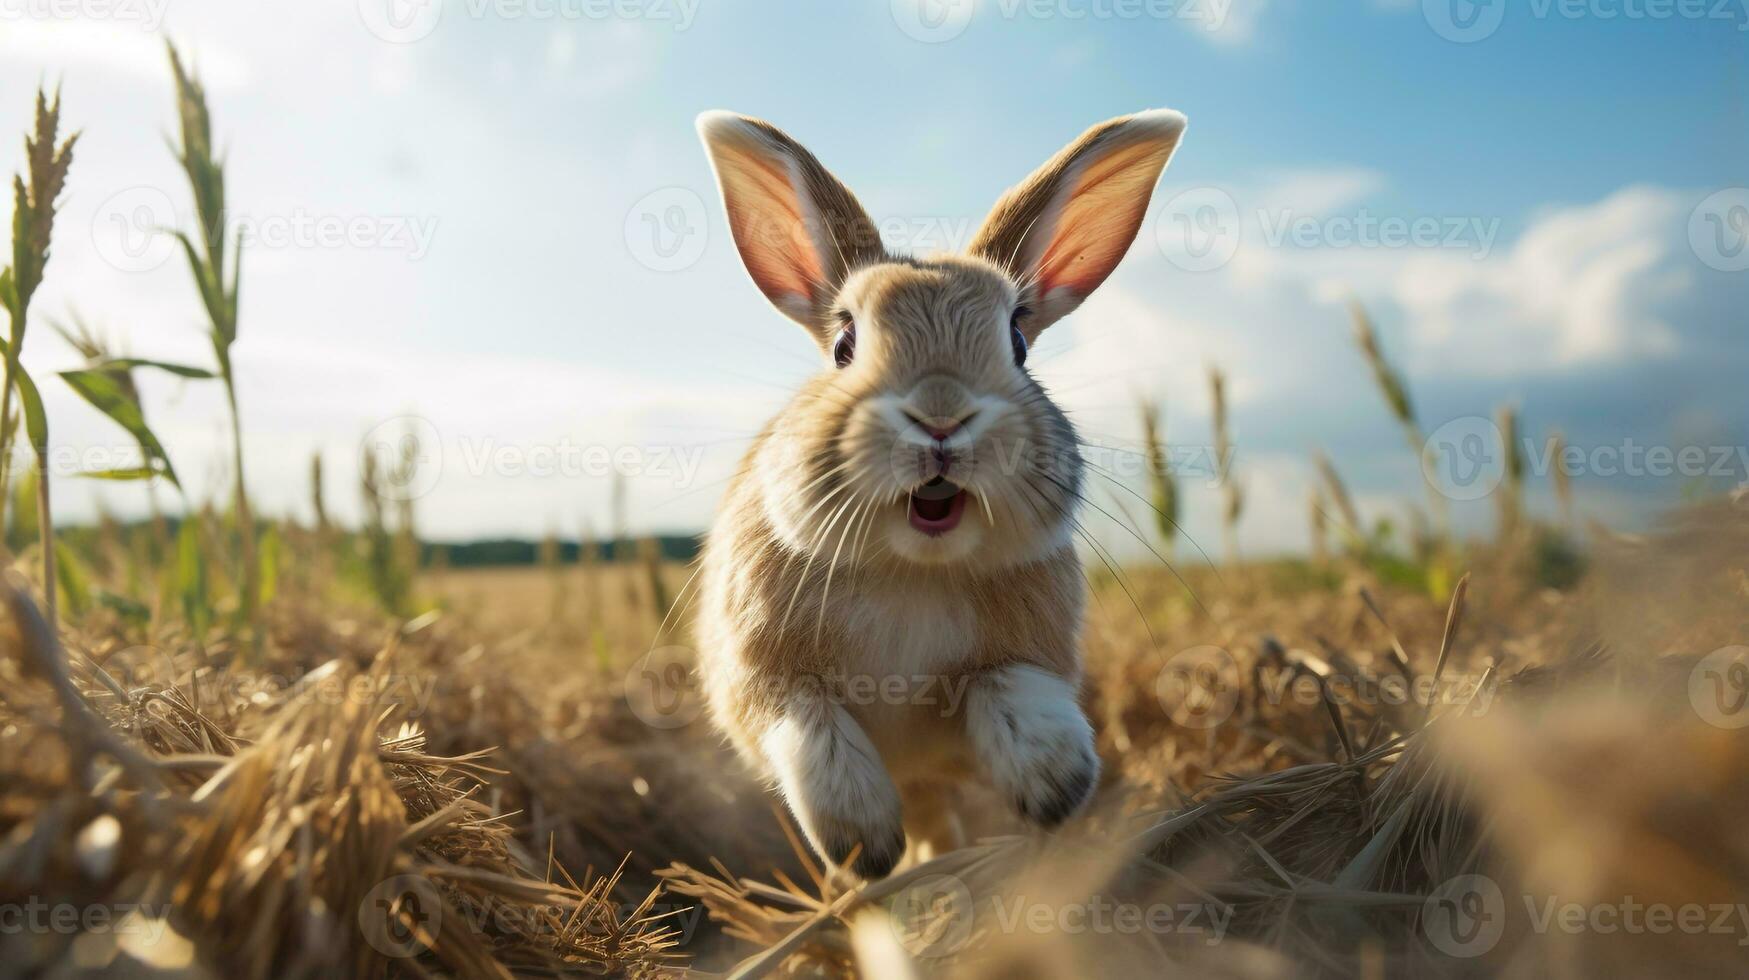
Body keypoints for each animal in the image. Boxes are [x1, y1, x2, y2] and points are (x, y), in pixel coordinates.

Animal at [689, 107, 1182, 882]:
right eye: (844, 343)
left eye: (1017, 341)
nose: (942, 414)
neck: (911, 568)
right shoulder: (766, 680)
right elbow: (810, 728)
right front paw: (864, 843)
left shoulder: (1026, 659)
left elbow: (1009, 691)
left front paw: (1055, 786)